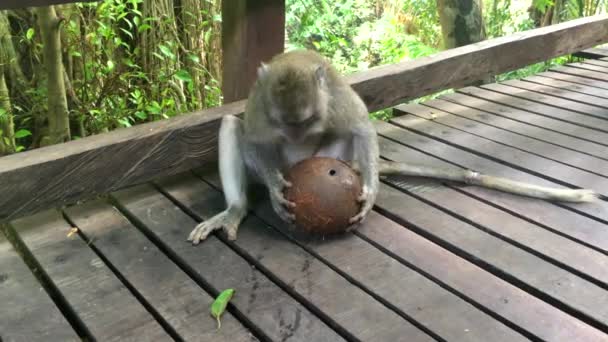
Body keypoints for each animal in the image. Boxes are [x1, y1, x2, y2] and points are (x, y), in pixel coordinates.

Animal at [188, 49, 596, 244]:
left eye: (307, 122)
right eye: (284, 124)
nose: (297, 141)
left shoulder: (334, 99)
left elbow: (361, 127)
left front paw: (369, 197)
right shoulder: (259, 103)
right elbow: (256, 139)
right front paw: (275, 191)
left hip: (336, 157)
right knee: (231, 126)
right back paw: (236, 209)